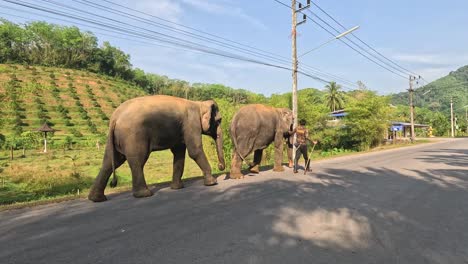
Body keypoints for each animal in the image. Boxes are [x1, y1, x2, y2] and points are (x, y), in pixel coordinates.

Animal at [89, 95, 227, 202]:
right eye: (219, 120)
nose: (220, 166)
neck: (199, 103)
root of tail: (114, 118)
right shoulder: (191, 123)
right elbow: (194, 150)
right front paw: (212, 182)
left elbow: (179, 154)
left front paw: (177, 188)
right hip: (134, 137)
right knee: (137, 160)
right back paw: (144, 194)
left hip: (115, 139)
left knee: (111, 162)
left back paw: (96, 199)